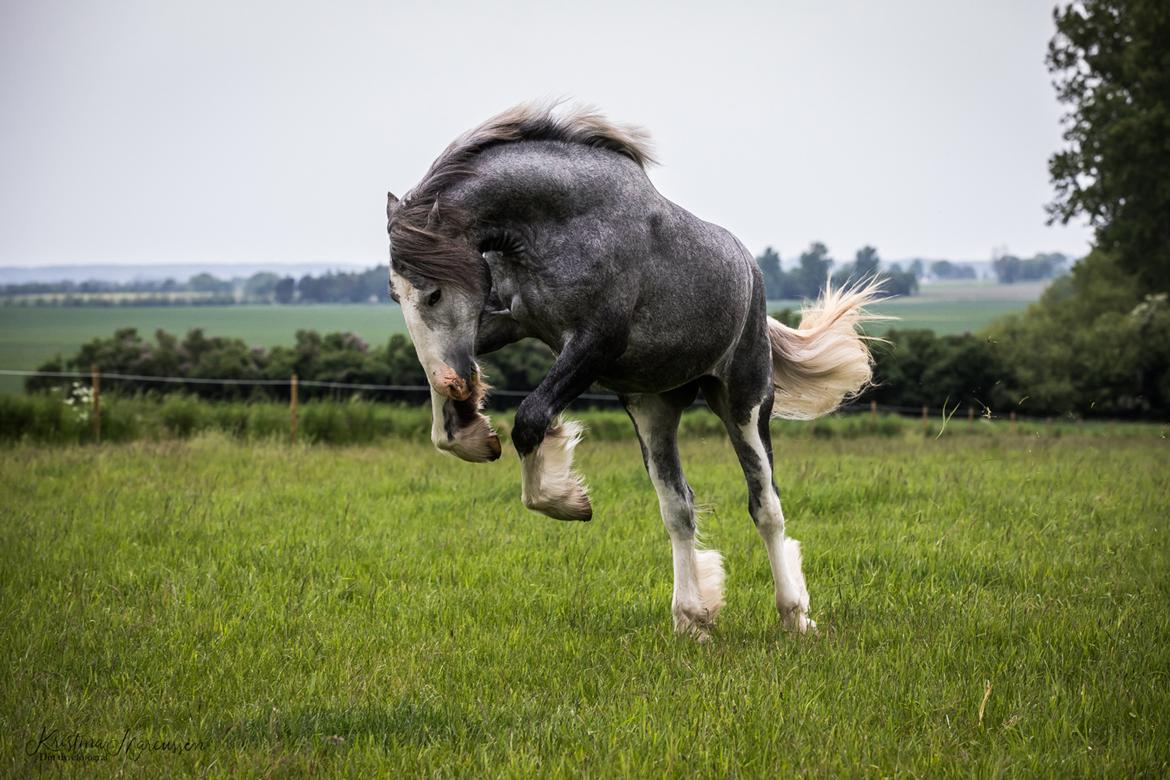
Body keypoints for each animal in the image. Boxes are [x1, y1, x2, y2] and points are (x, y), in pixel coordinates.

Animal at [386, 105, 879, 640]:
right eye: (395, 296)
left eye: (433, 292)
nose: (454, 382)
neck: (558, 222)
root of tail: (751, 272)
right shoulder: (509, 321)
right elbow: (447, 415)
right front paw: (473, 432)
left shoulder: (594, 343)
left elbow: (532, 419)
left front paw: (567, 499)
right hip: (653, 409)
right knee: (679, 508)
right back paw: (693, 618)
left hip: (744, 403)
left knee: (765, 505)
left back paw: (794, 615)